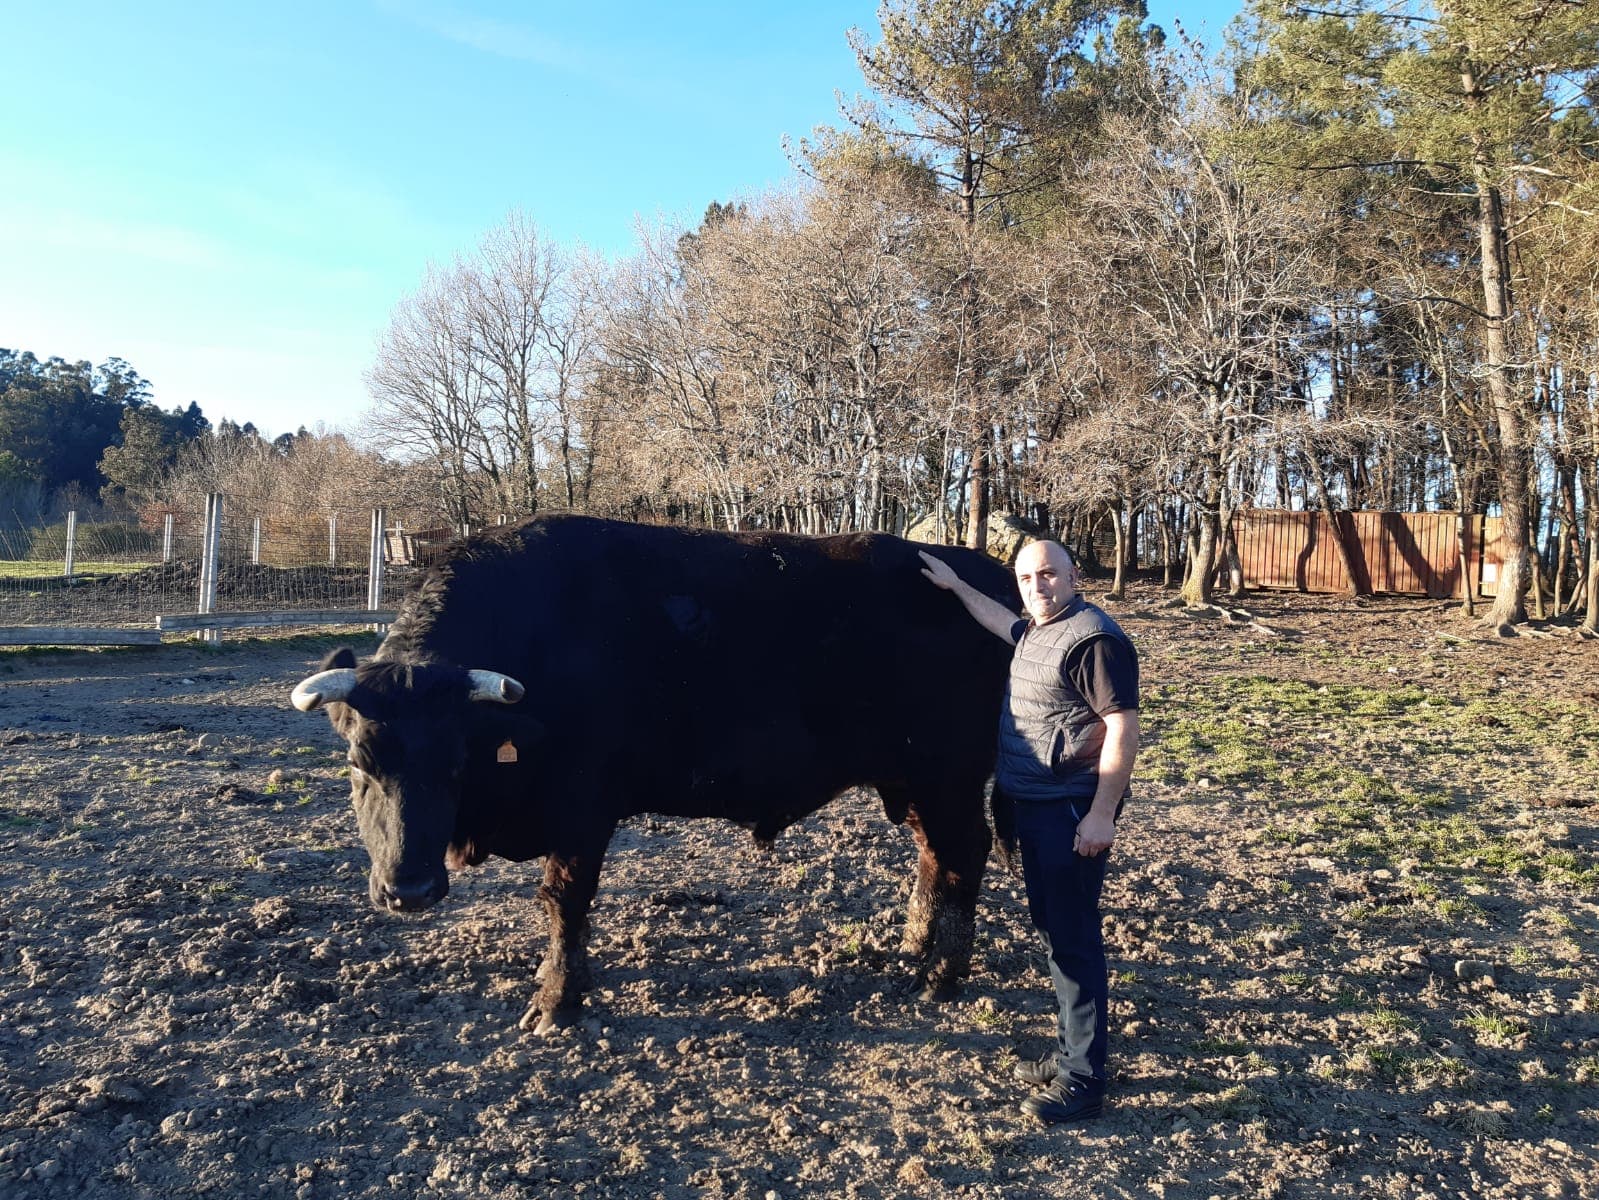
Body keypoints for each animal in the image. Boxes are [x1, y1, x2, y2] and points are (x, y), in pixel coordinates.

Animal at [289, 518, 1016, 1036]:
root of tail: (987, 573)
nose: (408, 890)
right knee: (934, 855)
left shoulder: (583, 809)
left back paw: (941, 975)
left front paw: (557, 1001)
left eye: (455, 761)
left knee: (965, 854)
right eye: (358, 764)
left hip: (948, 777)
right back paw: (912, 944)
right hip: (909, 780)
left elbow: (563, 900)